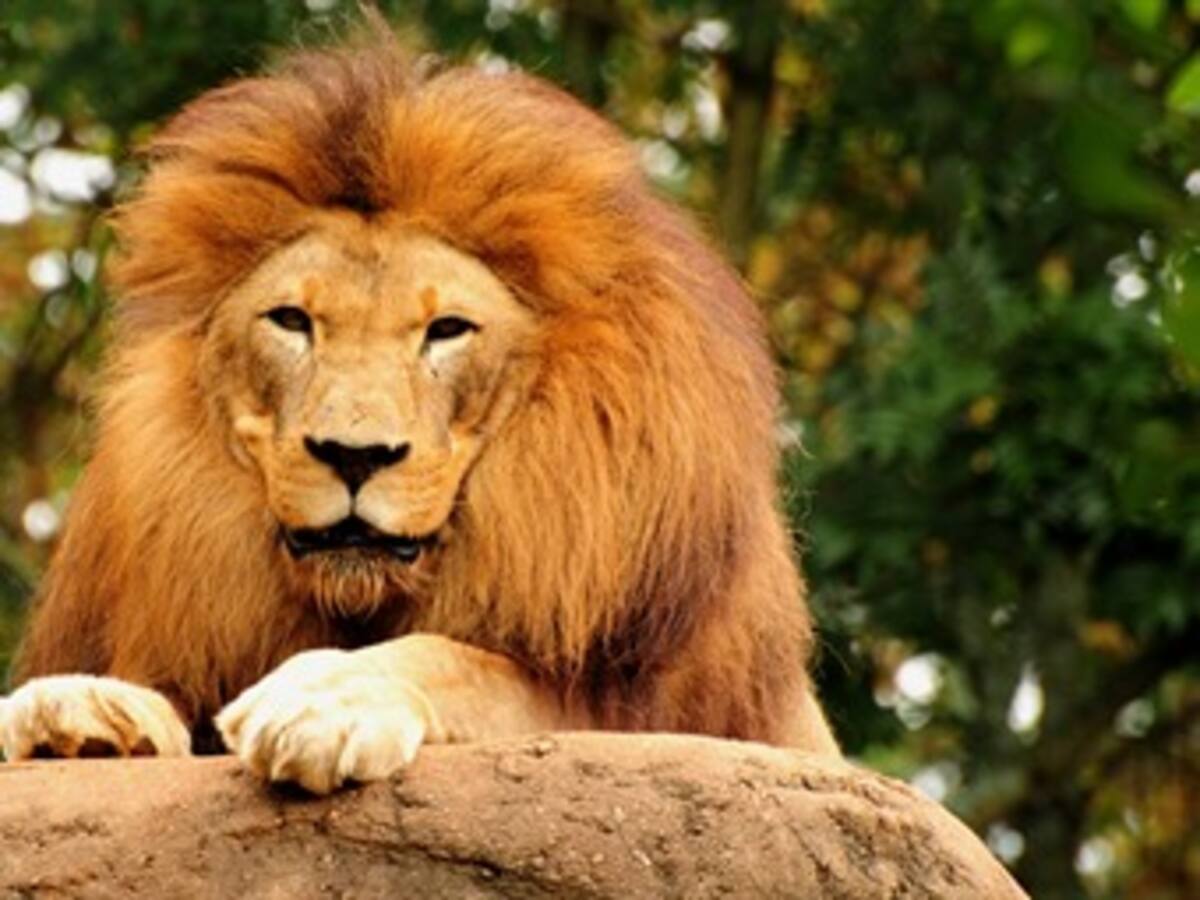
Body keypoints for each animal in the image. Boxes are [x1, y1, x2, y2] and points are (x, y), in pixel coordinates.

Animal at [0, 32, 839, 793]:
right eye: (292, 321)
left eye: (447, 329)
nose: (354, 455)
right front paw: (73, 709)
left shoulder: (647, 706)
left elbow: (466, 662)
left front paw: (326, 696)